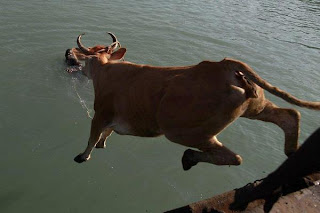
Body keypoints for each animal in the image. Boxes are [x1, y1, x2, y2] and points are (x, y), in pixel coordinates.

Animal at [72, 33, 320, 171]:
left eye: (87, 58)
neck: (106, 70)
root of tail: (223, 65)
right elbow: (106, 134)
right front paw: (103, 144)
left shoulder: (100, 114)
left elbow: (93, 136)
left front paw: (83, 156)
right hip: (256, 106)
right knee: (289, 115)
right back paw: (291, 151)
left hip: (185, 131)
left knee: (234, 157)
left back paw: (190, 157)